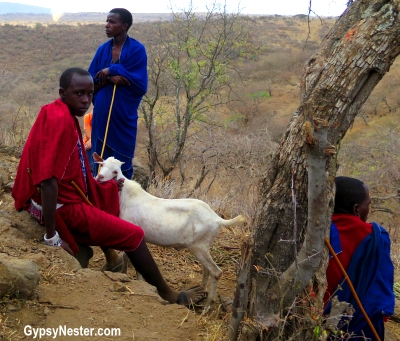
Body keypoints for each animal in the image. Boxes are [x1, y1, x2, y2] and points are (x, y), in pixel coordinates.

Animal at [95, 154, 248, 306]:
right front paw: (139, 281)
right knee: (207, 270)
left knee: (216, 272)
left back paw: (207, 305)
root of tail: (217, 219)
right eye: (102, 164)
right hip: (203, 247)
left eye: (115, 171)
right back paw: (202, 292)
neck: (127, 197)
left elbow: (128, 257)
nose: (99, 177)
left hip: (199, 246)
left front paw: (126, 275)